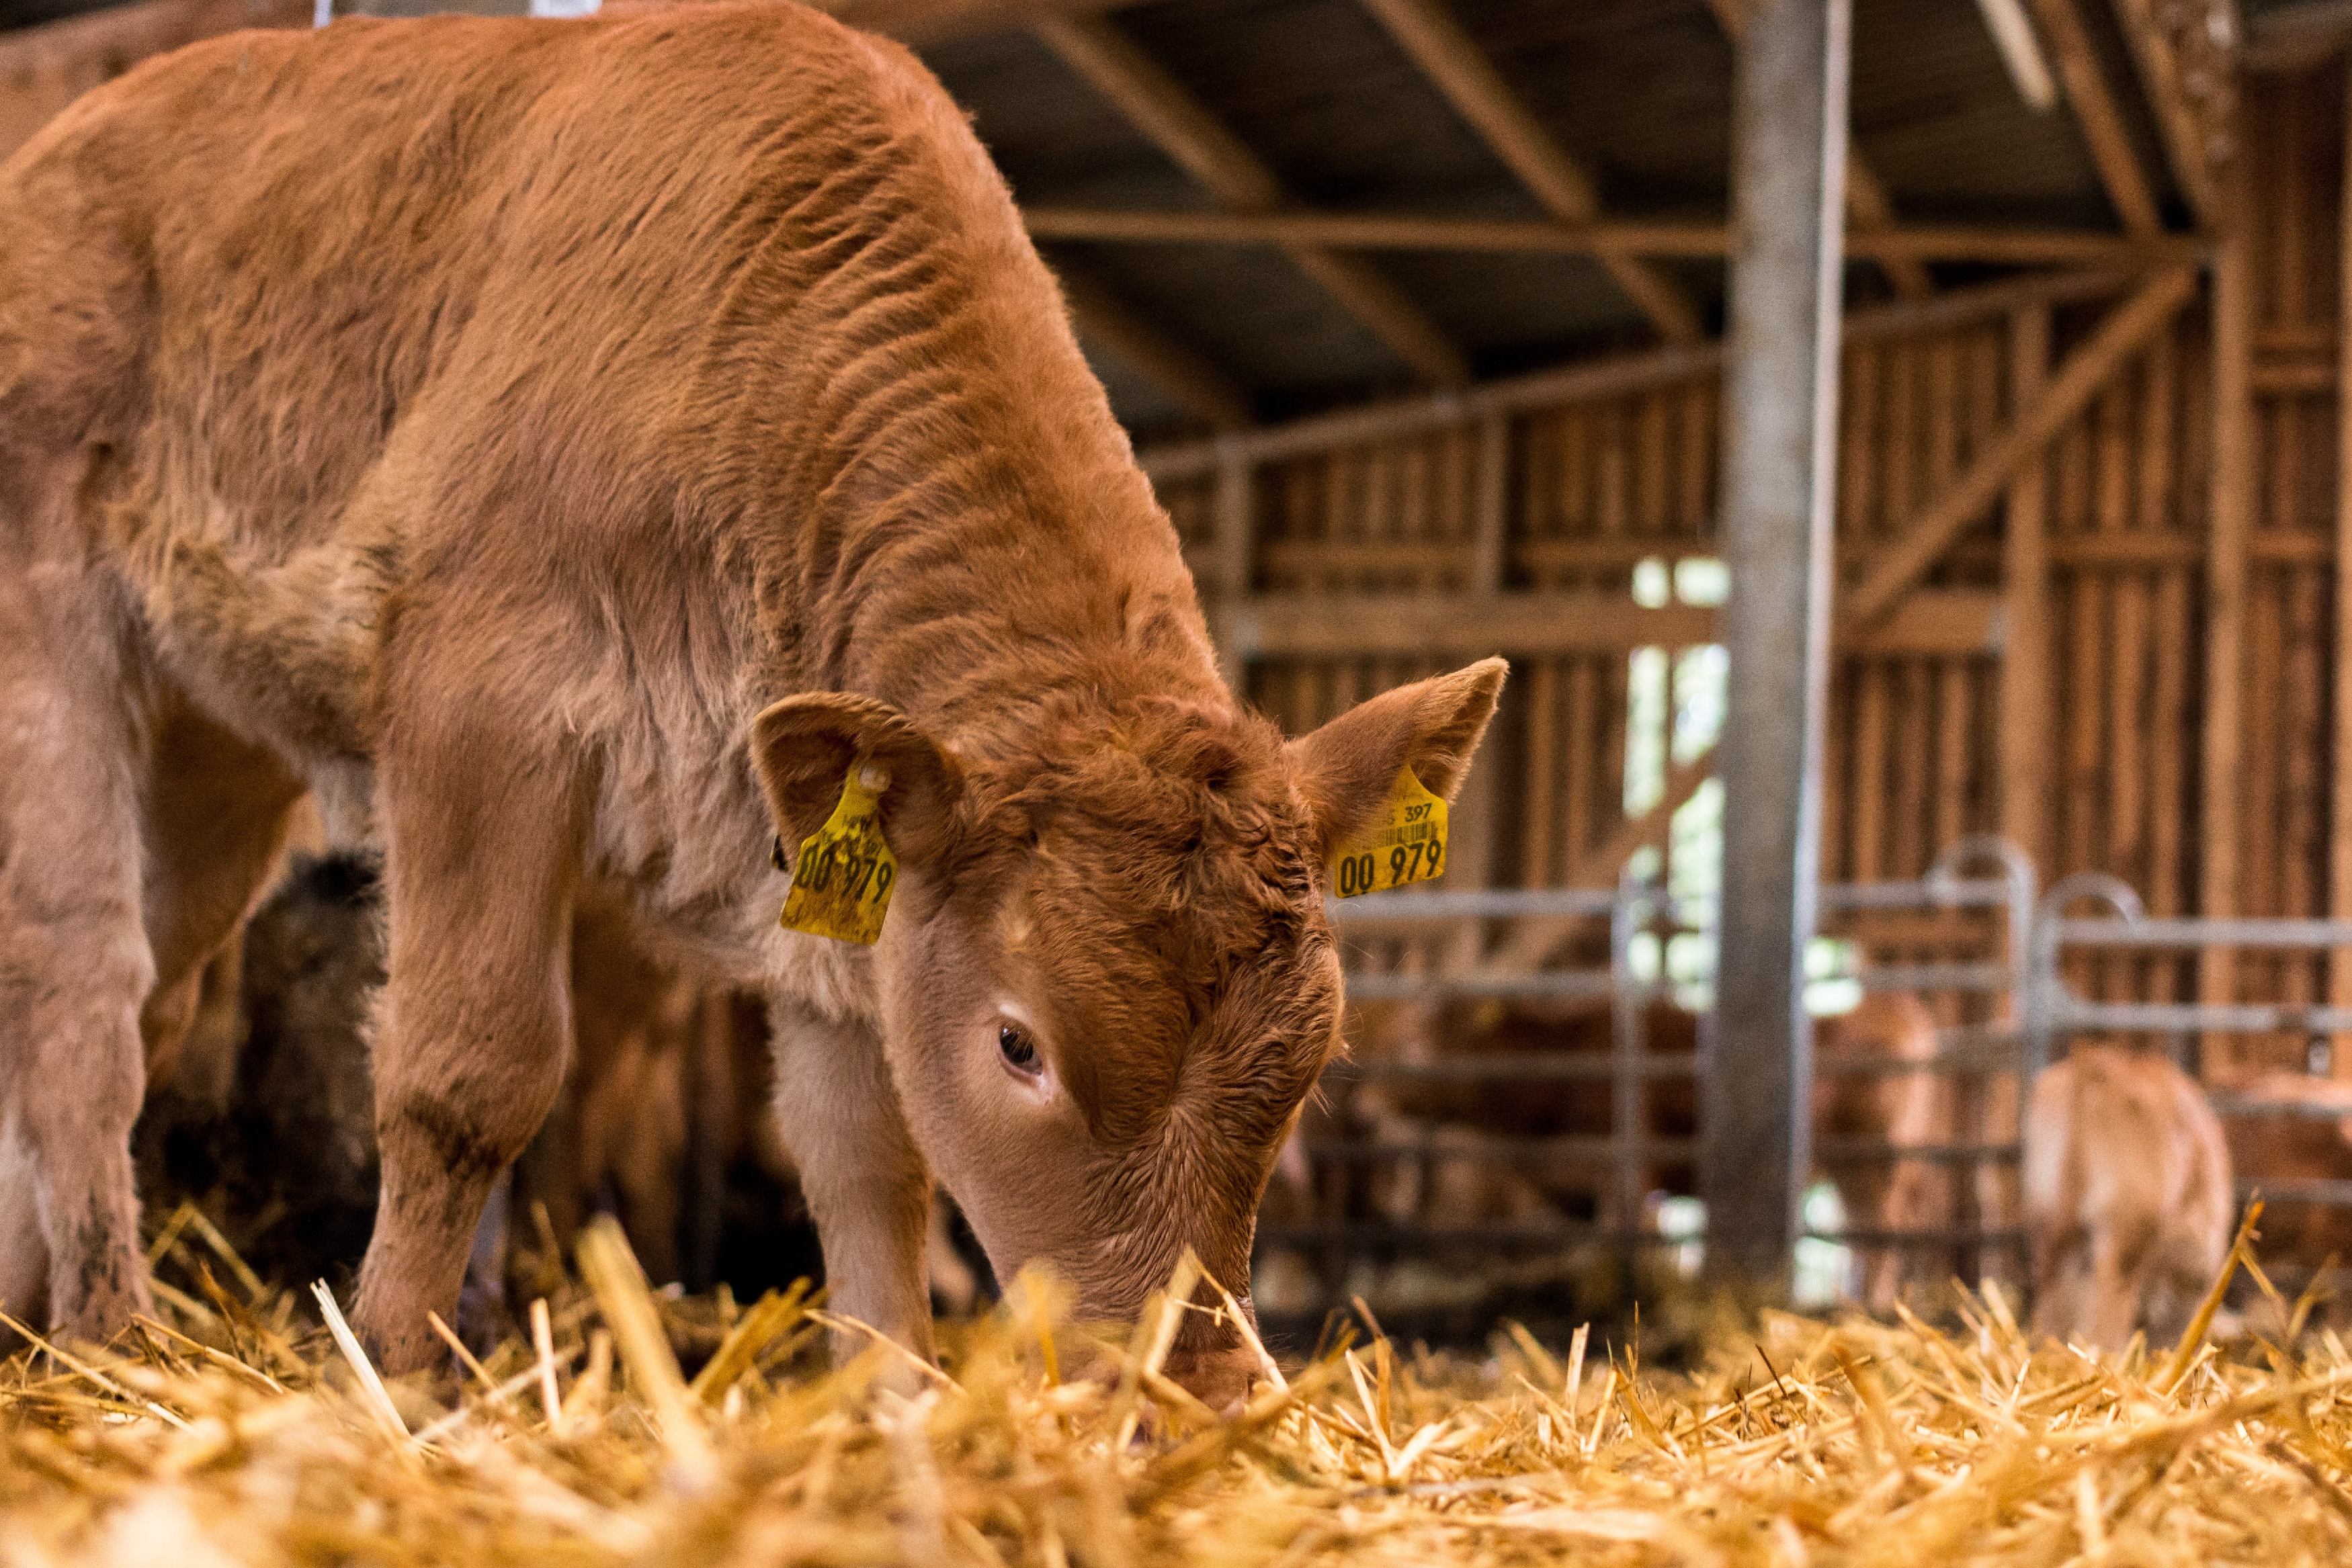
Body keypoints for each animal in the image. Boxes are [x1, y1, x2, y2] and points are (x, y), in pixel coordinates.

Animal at [0, 0, 1496, 1401]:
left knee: (149, 984)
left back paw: (28, 1314)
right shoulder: (476, 695)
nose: (1188, 1396)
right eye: (1020, 1044)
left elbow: (864, 1155)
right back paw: (107, 1328)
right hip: (48, 631)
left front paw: (892, 1402)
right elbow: (466, 1069)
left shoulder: (836, 854)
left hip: (212, 738)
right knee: (80, 977)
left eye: (1309, 1062)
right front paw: (398, 1375)